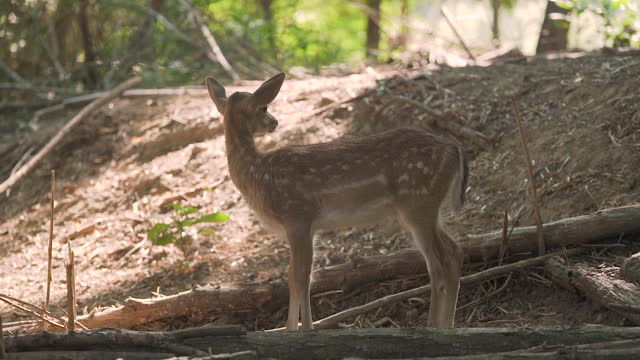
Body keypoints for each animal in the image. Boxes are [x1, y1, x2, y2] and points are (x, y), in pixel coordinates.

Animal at [208, 73, 468, 332]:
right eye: (264, 108)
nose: (275, 122)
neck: (258, 176)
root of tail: (454, 148)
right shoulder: (308, 226)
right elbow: (307, 276)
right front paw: (306, 328)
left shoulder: (298, 216)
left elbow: (297, 277)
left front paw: (295, 330)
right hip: (426, 208)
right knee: (454, 252)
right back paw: (448, 325)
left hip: (417, 201)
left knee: (438, 263)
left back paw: (432, 325)